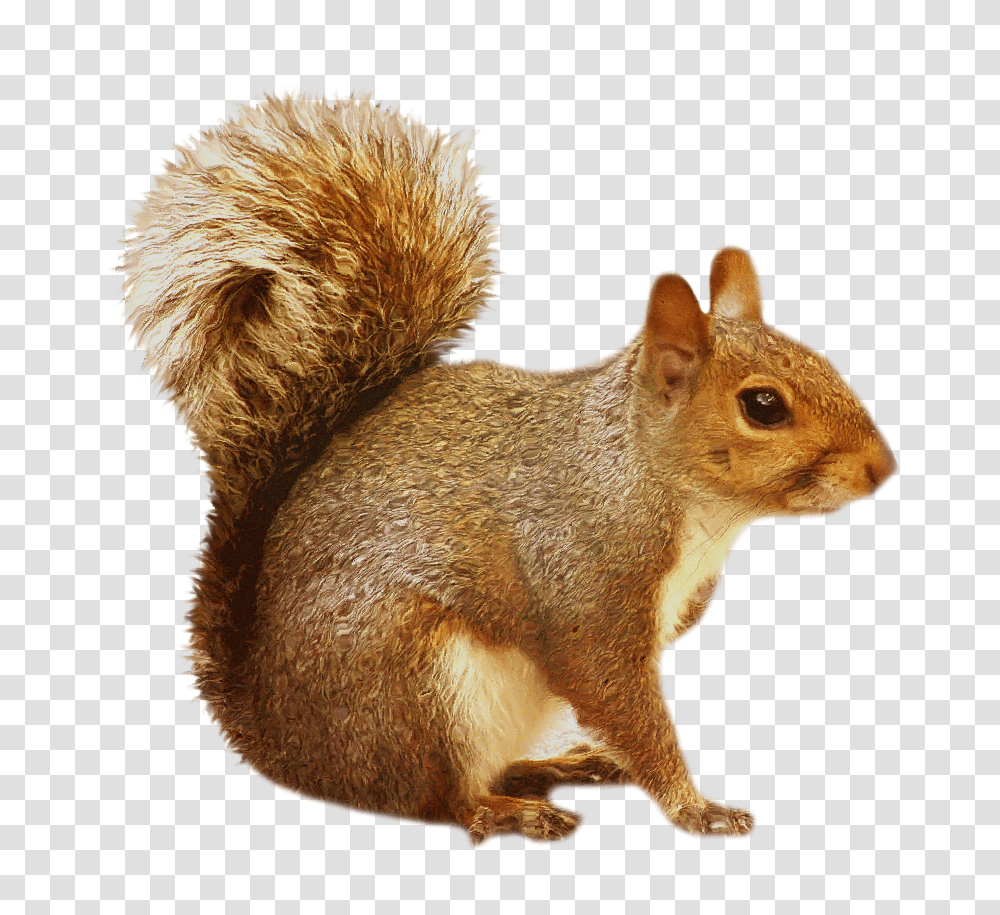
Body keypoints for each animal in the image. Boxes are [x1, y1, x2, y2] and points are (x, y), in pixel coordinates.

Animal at [122, 95, 896, 843]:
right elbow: (617, 694)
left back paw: (552, 766)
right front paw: (695, 807)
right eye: (763, 405)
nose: (882, 468)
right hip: (415, 683)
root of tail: (278, 738)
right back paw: (506, 810)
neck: (663, 486)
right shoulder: (585, 582)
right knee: (435, 796)